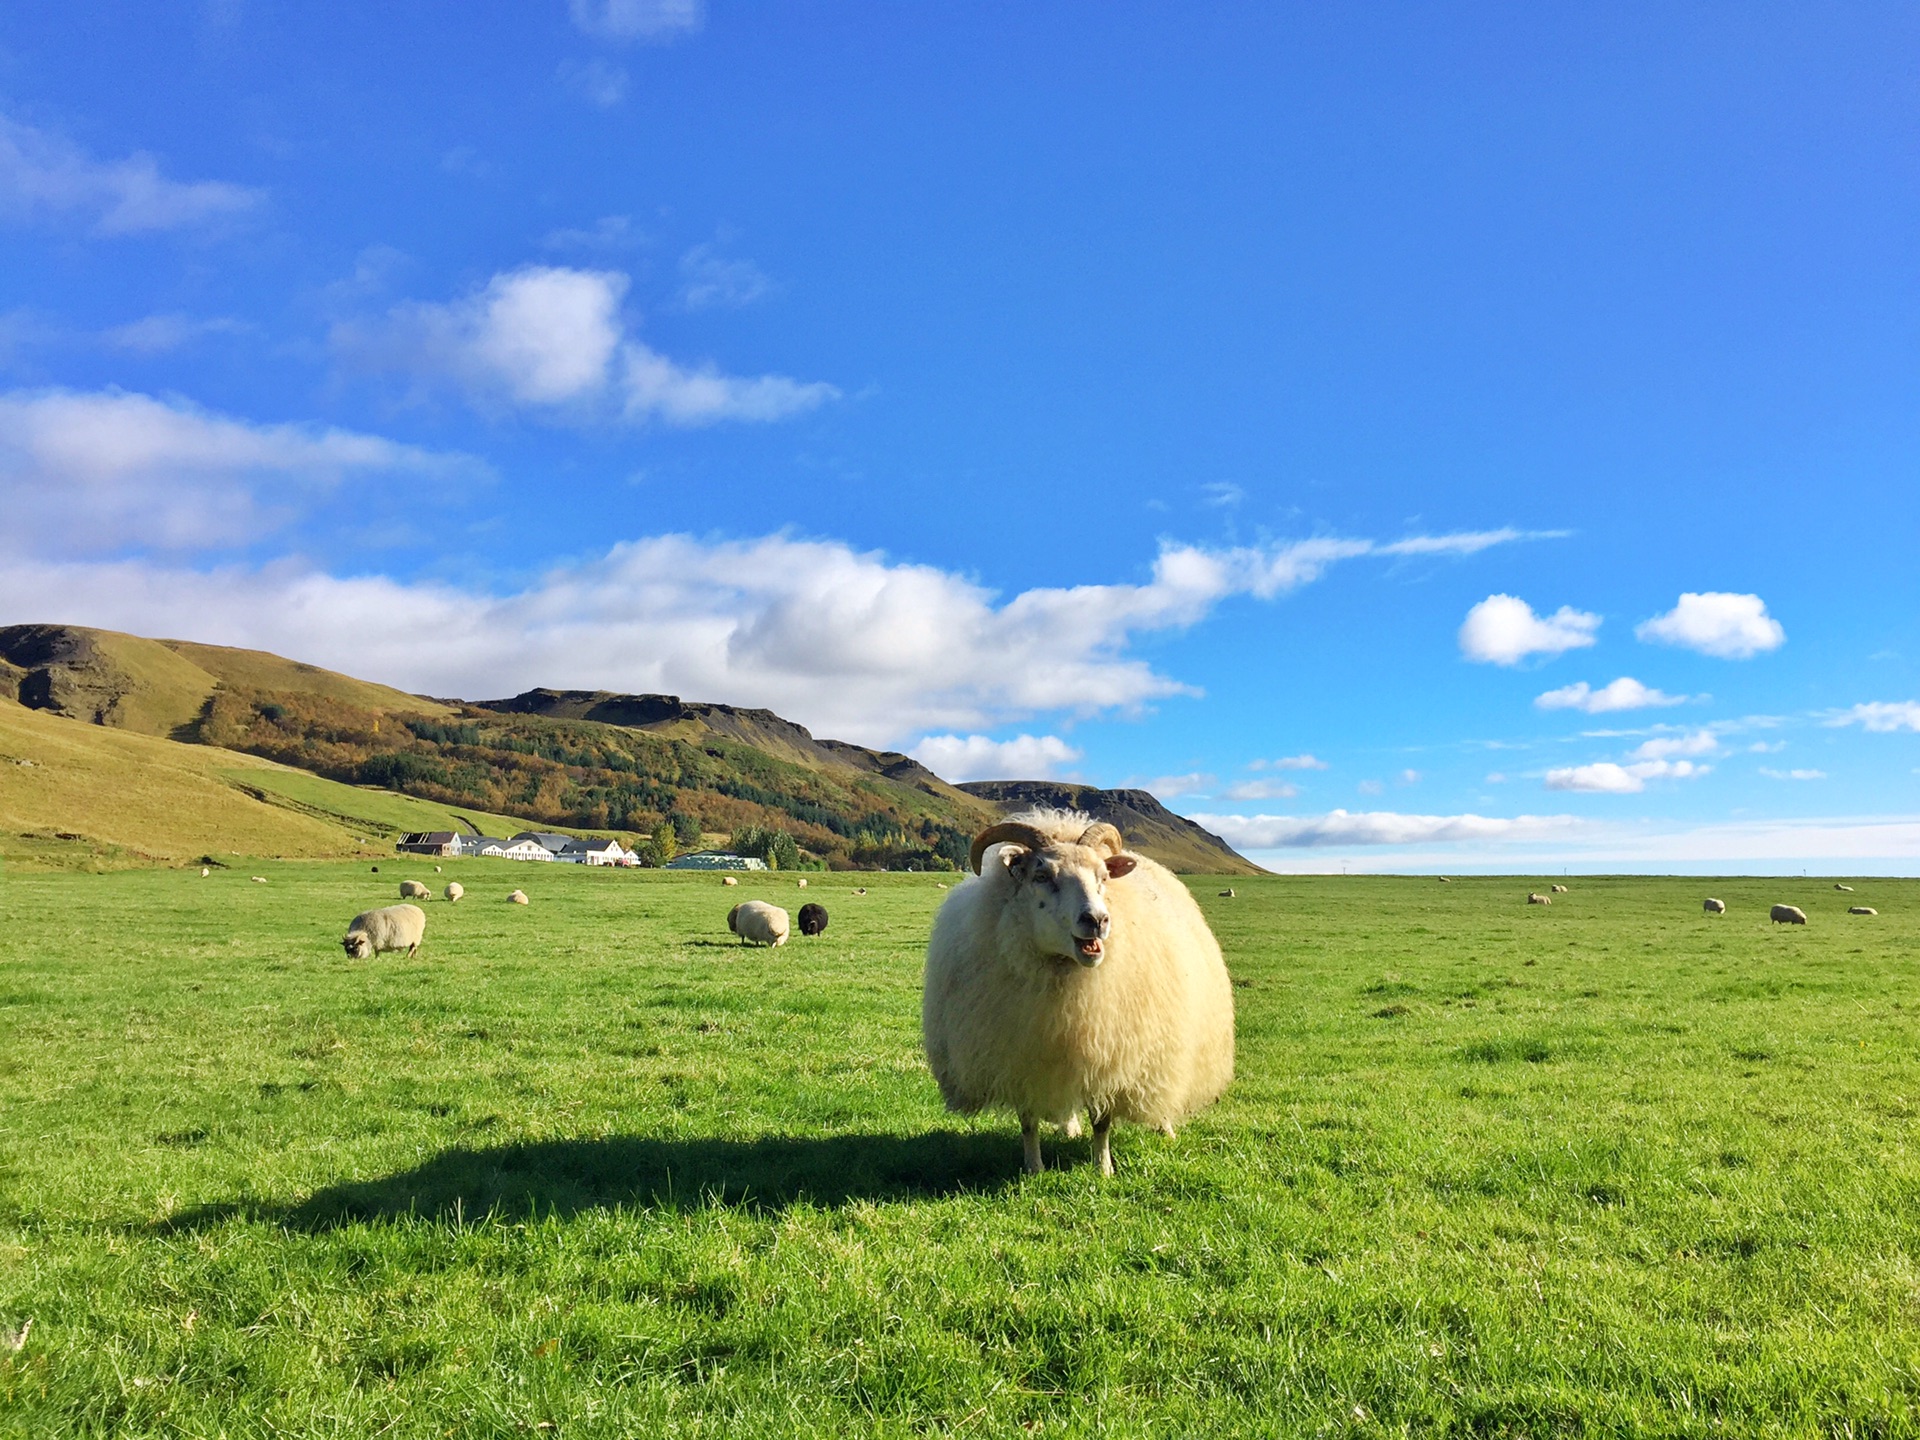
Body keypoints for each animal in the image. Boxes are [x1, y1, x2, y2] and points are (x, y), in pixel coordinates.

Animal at [917, 806, 1244, 1175]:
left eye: (1103, 876)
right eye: (1042, 876)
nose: (1097, 920)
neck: (1063, 978)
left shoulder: (1112, 1057)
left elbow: (1102, 1122)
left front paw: (1103, 1169)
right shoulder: (1021, 1058)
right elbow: (1028, 1121)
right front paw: (1034, 1168)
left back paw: (1165, 1127)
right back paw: (1070, 1128)